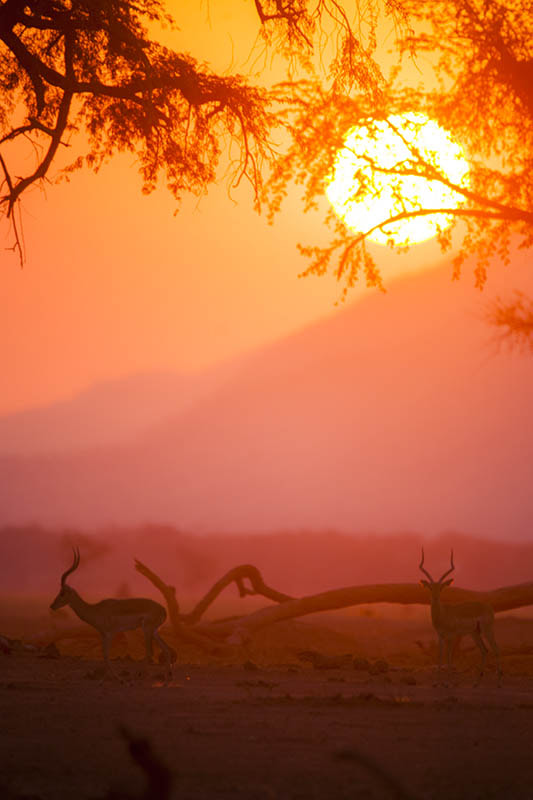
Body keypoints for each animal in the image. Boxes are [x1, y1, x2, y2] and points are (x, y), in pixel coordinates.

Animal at [50, 552, 175, 680]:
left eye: (62, 593)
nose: (52, 606)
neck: (95, 609)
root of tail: (163, 610)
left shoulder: (109, 634)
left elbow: (106, 656)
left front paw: (117, 679)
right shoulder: (103, 635)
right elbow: (104, 656)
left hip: (147, 630)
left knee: (150, 652)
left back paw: (137, 677)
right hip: (154, 631)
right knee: (166, 650)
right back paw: (167, 678)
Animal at [418, 552, 500, 688]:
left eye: (441, 588)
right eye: (430, 587)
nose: (435, 598)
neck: (443, 613)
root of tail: (488, 607)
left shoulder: (451, 636)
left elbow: (449, 656)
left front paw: (448, 683)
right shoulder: (440, 636)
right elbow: (440, 655)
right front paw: (436, 683)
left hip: (487, 630)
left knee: (495, 648)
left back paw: (499, 683)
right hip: (474, 633)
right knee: (484, 650)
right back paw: (476, 683)